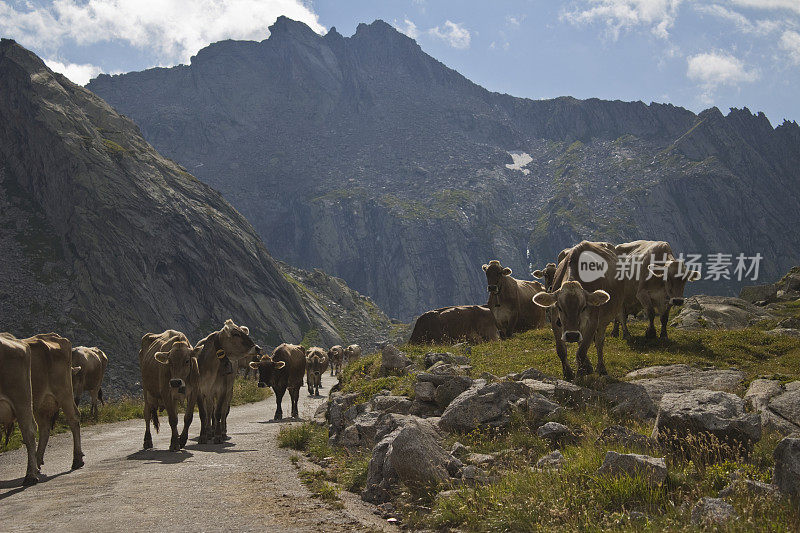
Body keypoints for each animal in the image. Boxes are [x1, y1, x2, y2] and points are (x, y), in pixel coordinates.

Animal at [22, 332, 84, 470]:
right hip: (40, 403)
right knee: (44, 427)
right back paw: (37, 461)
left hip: (64, 393)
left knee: (73, 417)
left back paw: (77, 460)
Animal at [536, 239, 628, 380]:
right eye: (559, 307)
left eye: (584, 307)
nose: (571, 335)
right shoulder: (555, 321)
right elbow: (561, 350)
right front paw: (568, 374)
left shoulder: (593, 321)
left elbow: (582, 351)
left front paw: (580, 375)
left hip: (604, 319)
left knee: (599, 341)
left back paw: (600, 368)